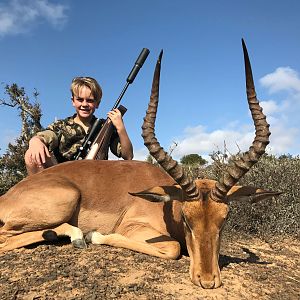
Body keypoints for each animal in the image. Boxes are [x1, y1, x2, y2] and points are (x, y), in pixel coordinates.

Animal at [0, 39, 282, 288]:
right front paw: (94, 235)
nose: (208, 281)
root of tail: (7, 196)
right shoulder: (135, 227)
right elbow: (173, 248)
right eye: (186, 218)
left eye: (224, 218)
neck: (166, 203)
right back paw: (77, 236)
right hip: (65, 199)